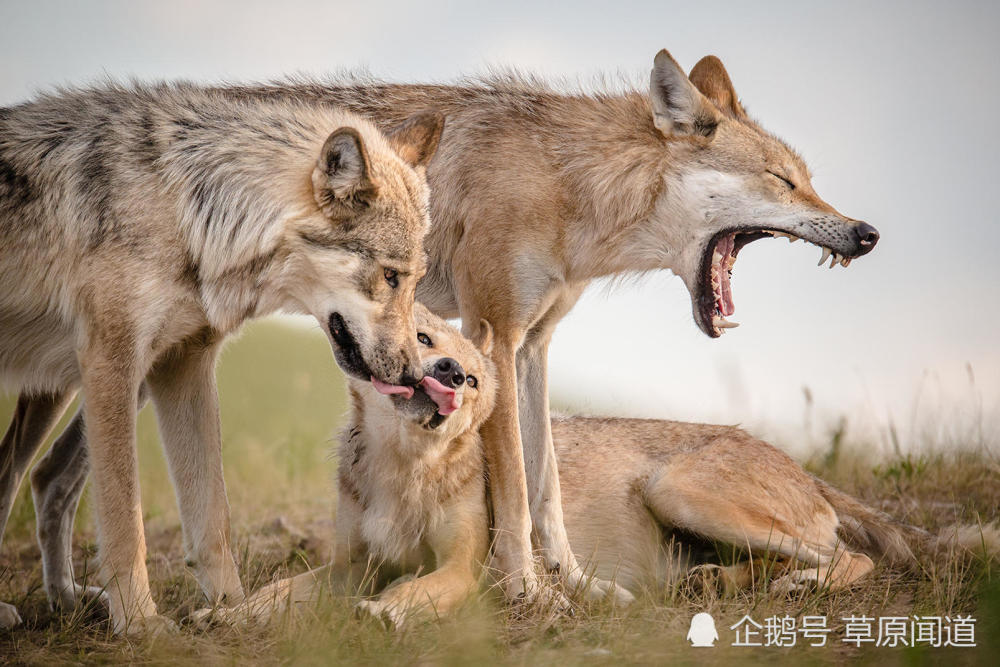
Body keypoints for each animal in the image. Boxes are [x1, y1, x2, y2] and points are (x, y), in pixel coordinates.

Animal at [0, 81, 446, 636]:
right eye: (390, 277)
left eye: (414, 280)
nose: (413, 375)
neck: (186, 214)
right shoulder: (112, 361)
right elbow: (125, 518)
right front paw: (141, 623)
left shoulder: (182, 365)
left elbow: (213, 517)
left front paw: (232, 610)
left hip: (59, 388)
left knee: (31, 476)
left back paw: (65, 599)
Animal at [193, 308, 992, 632]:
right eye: (422, 339)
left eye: (472, 378)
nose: (450, 374)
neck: (404, 465)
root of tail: (790, 457)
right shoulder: (343, 567)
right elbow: (271, 596)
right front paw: (218, 613)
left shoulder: (463, 569)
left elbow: (417, 589)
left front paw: (391, 610)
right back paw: (714, 583)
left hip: (677, 489)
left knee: (849, 557)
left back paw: (794, 585)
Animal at [221, 48, 884, 600]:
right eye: (784, 181)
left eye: (806, 180)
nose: (867, 233)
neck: (565, 182)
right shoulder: (493, 332)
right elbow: (514, 489)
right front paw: (525, 589)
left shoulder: (532, 346)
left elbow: (547, 488)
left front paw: (575, 586)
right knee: (853, 555)